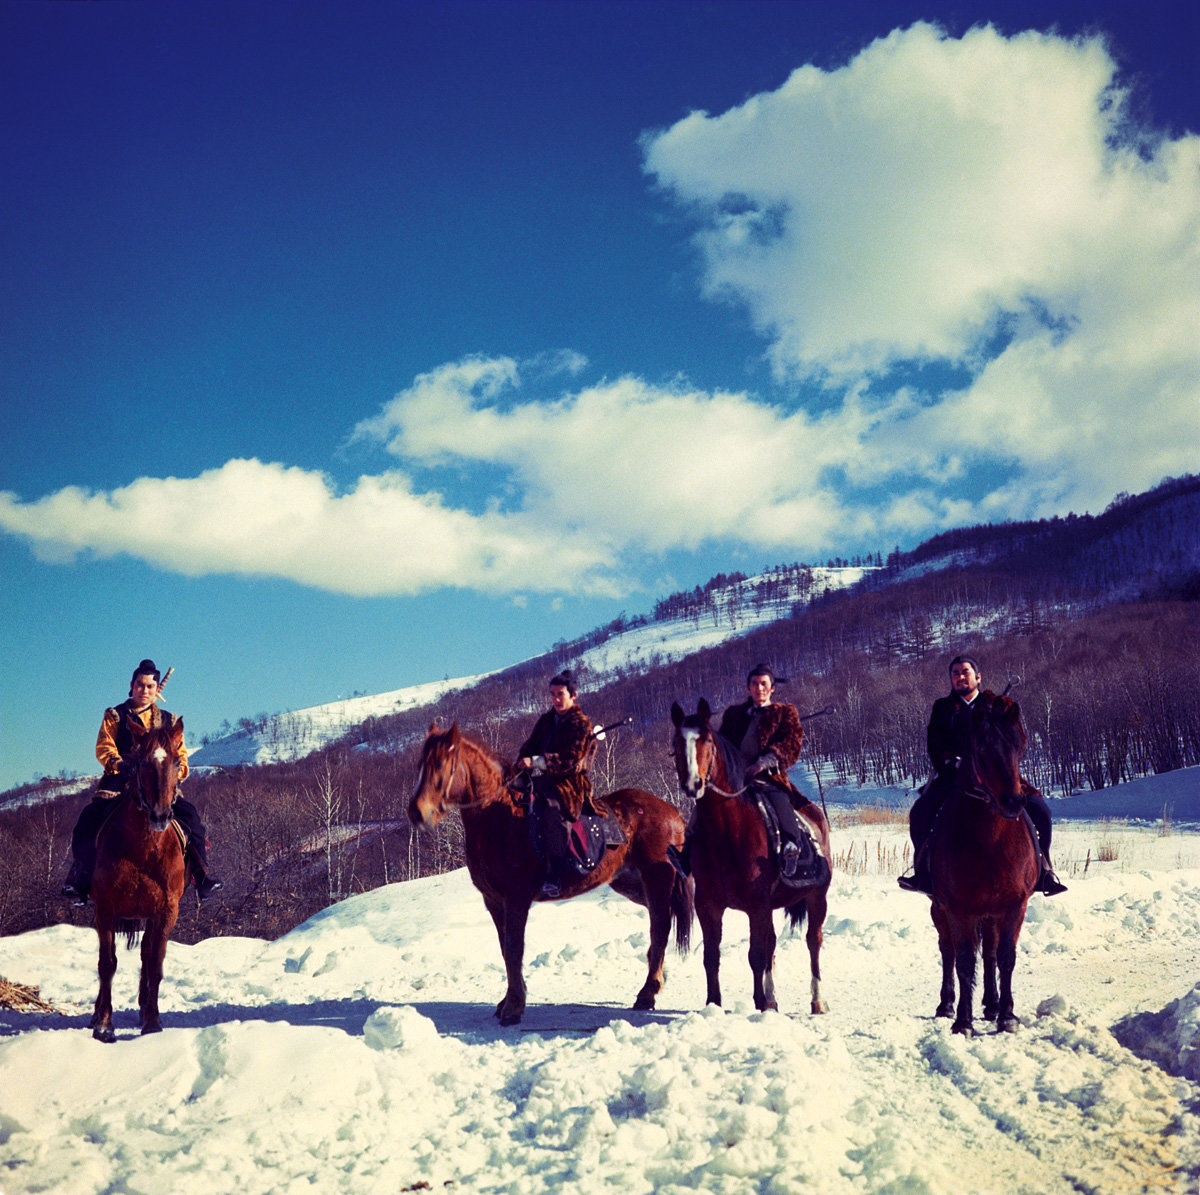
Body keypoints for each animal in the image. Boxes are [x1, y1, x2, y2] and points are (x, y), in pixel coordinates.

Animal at [90, 715, 187, 1041]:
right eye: (140, 762)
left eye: (176, 761)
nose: (160, 815)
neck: (143, 849)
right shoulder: (105, 908)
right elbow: (107, 963)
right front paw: (104, 1024)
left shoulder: (166, 910)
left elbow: (155, 964)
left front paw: (153, 1023)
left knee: (146, 957)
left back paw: (145, 1008)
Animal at [410, 724, 696, 1022]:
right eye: (421, 765)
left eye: (441, 765)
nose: (417, 812)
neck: (498, 817)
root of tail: (671, 812)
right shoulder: (494, 902)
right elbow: (505, 949)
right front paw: (508, 1001)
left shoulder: (516, 900)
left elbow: (513, 948)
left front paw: (513, 1007)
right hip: (632, 883)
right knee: (661, 920)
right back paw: (658, 979)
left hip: (656, 879)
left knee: (660, 926)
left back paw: (647, 993)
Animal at [672, 700, 830, 1017]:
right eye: (675, 742)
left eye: (707, 740)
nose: (693, 784)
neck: (726, 831)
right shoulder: (708, 905)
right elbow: (712, 956)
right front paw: (714, 1003)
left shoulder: (756, 905)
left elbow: (756, 955)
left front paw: (760, 1003)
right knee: (773, 944)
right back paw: (773, 997)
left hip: (817, 897)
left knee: (813, 942)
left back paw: (817, 1000)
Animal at [926, 695, 1041, 1031]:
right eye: (979, 749)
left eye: (1019, 746)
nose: (1014, 802)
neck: (988, 842)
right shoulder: (957, 908)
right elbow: (964, 960)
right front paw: (963, 1021)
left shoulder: (1015, 905)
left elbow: (1005, 957)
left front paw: (1007, 1015)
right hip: (939, 908)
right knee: (948, 951)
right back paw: (947, 1004)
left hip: (991, 913)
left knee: (989, 952)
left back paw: (991, 1004)